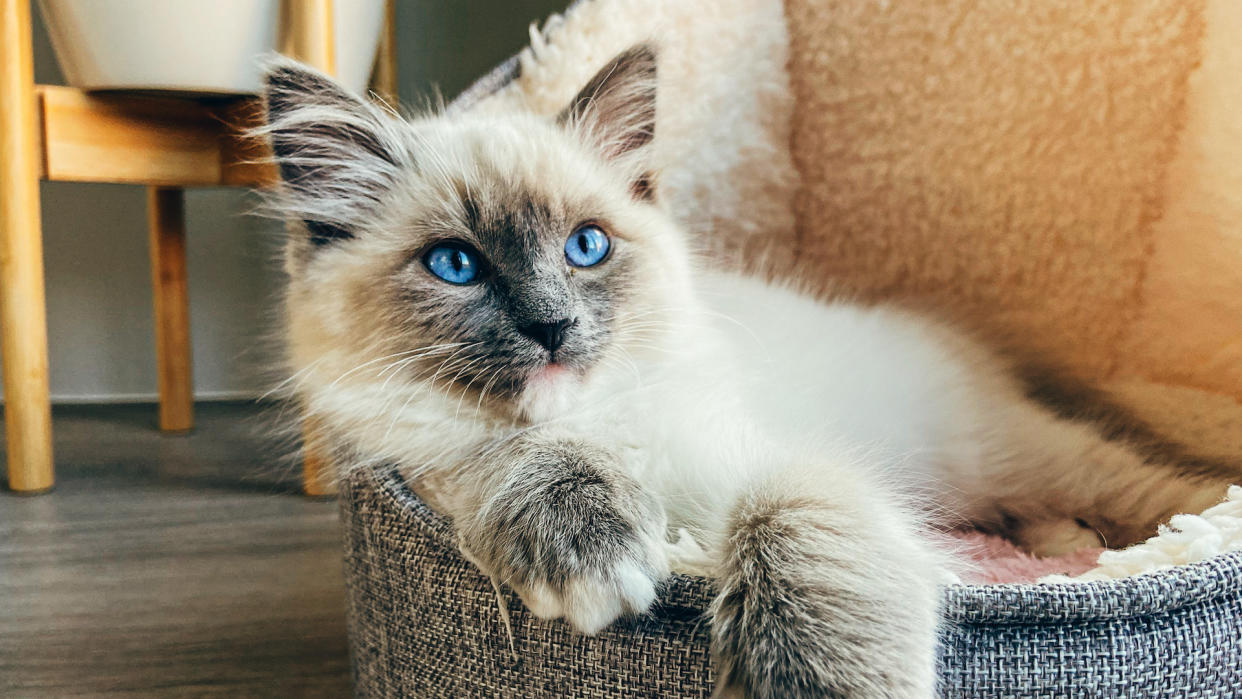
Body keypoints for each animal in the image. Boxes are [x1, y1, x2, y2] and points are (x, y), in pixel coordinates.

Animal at [259, 46, 1232, 695]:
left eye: (586, 248)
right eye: (456, 265)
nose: (552, 326)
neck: (606, 427)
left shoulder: (769, 462)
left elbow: (786, 515)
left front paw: (808, 682)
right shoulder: (428, 452)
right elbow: (513, 460)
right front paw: (588, 551)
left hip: (1020, 454)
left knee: (1155, 489)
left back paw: (1177, 524)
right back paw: (1061, 545)